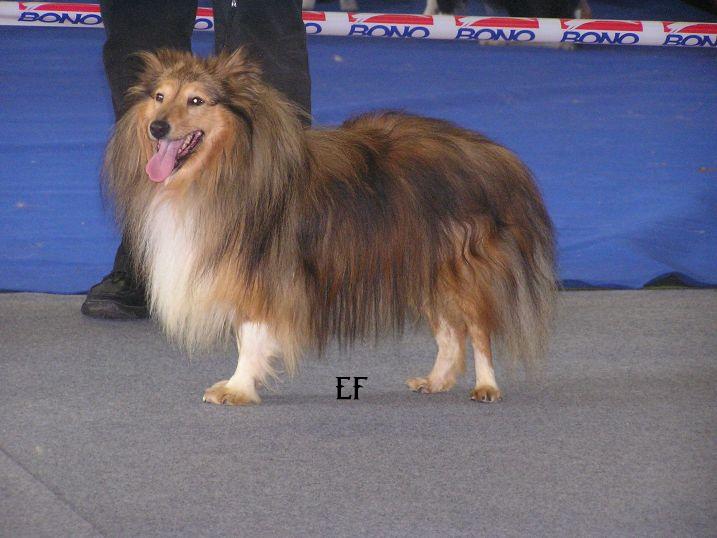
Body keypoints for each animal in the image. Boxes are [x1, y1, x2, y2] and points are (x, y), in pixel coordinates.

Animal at [104, 49, 556, 405]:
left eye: (196, 100)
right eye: (160, 97)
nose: (157, 127)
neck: (227, 167)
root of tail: (495, 156)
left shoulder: (263, 276)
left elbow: (250, 335)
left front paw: (237, 388)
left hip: (459, 267)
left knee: (477, 329)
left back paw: (486, 386)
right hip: (422, 263)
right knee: (450, 331)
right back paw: (437, 380)